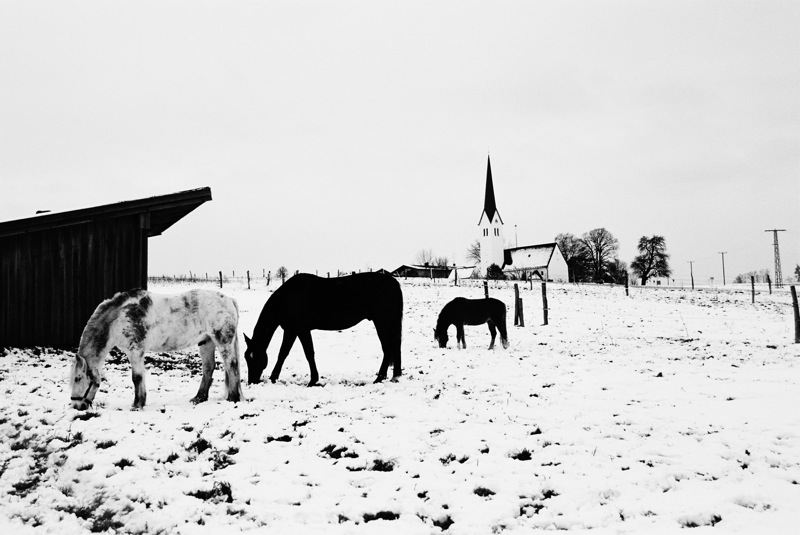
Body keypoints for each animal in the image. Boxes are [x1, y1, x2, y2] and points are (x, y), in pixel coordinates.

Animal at [69, 288, 244, 410]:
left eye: (78, 378)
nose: (77, 407)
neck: (119, 317)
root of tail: (229, 300)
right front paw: (141, 402)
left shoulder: (135, 351)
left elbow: (137, 378)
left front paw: (137, 405)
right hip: (206, 342)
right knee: (209, 368)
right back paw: (199, 398)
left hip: (223, 342)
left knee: (231, 366)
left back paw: (232, 398)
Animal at [242, 274, 406, 388]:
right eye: (246, 357)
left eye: (254, 357)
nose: (251, 382)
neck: (287, 298)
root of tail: (394, 283)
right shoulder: (291, 330)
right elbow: (283, 353)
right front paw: (274, 377)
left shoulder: (300, 330)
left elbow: (308, 353)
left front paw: (312, 380)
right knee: (395, 347)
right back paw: (395, 376)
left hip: (382, 322)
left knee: (387, 348)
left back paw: (379, 378)